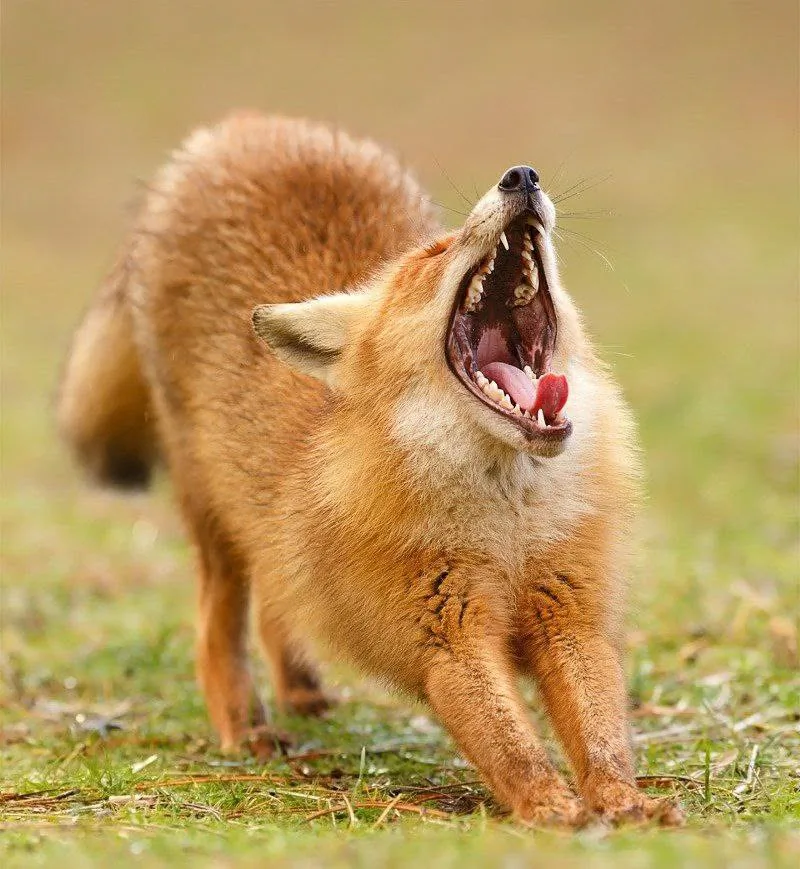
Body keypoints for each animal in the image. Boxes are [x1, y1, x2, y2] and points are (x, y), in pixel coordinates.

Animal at [57, 112, 682, 827]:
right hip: (210, 509)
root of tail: (247, 125)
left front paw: (623, 802)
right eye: (435, 253)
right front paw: (550, 807)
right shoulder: (445, 641)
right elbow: (511, 744)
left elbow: (602, 733)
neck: (508, 528)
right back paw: (245, 728)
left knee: (278, 599)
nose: (521, 177)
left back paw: (301, 691)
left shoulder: (572, 618)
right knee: (218, 626)